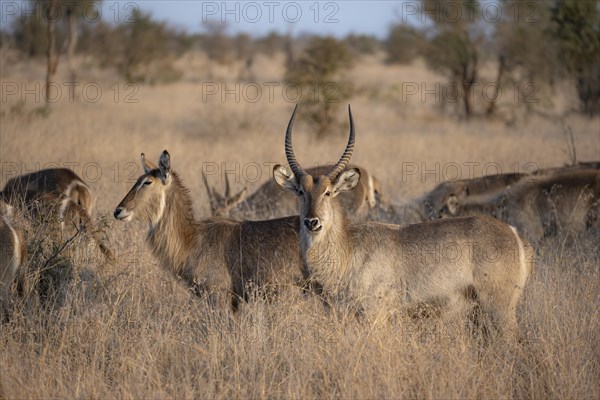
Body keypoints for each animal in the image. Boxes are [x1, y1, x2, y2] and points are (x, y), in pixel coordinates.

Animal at [274, 104, 532, 336]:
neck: (348, 248)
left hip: (499, 309)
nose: (312, 222)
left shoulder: (375, 315)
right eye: (301, 192)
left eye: (328, 192)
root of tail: (515, 234)